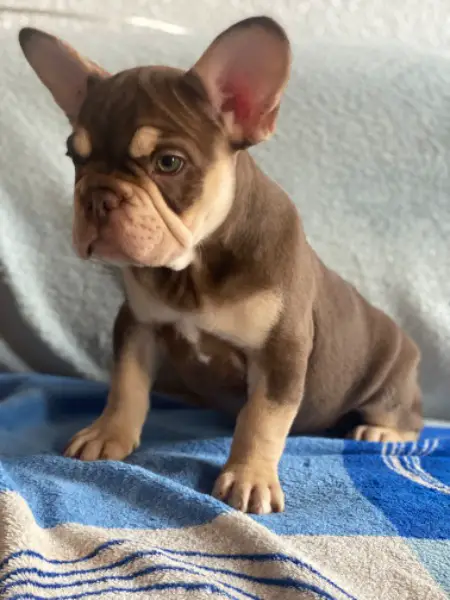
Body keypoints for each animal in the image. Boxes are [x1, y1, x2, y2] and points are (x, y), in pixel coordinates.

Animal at [19, 16, 423, 515]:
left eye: (168, 163)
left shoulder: (282, 351)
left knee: (408, 418)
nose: (96, 197)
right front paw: (108, 432)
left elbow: (262, 418)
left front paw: (249, 476)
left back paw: (382, 431)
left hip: (389, 381)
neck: (194, 269)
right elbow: (126, 385)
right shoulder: (137, 325)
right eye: (76, 158)